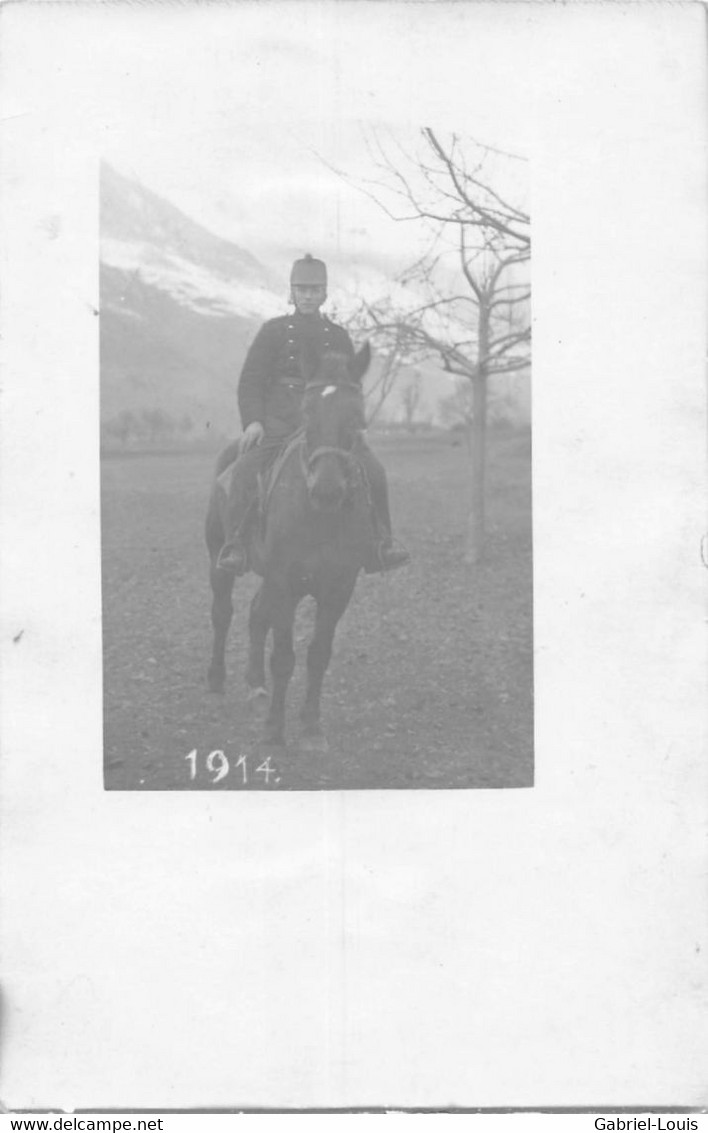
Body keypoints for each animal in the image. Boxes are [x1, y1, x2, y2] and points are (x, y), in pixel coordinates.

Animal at [203, 344, 376, 752]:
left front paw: (311, 725)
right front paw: (274, 729)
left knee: (255, 614)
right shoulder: (285, 582)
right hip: (220, 561)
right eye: (306, 413)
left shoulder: (338, 588)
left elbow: (318, 653)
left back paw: (255, 685)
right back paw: (217, 679)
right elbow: (283, 656)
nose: (327, 491)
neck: (320, 518)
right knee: (223, 613)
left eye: (356, 416)